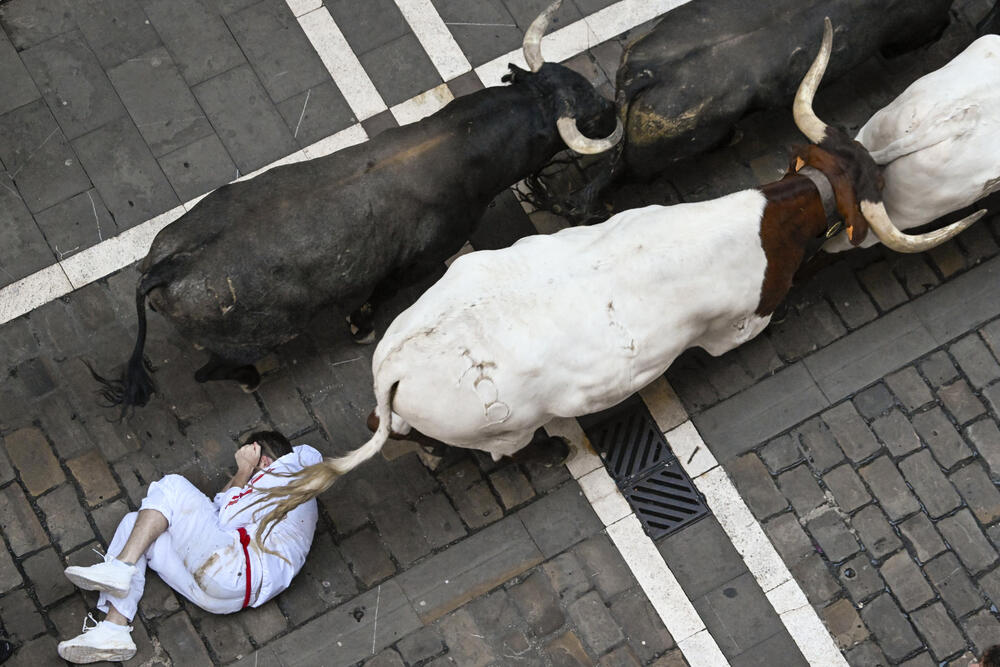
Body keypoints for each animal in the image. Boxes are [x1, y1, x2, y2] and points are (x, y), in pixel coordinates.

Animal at [99, 62, 616, 410]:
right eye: (585, 119)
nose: (612, 107)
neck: (458, 145)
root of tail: (167, 267)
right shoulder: (419, 264)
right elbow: (379, 294)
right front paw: (361, 326)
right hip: (260, 336)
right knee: (209, 372)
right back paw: (248, 378)